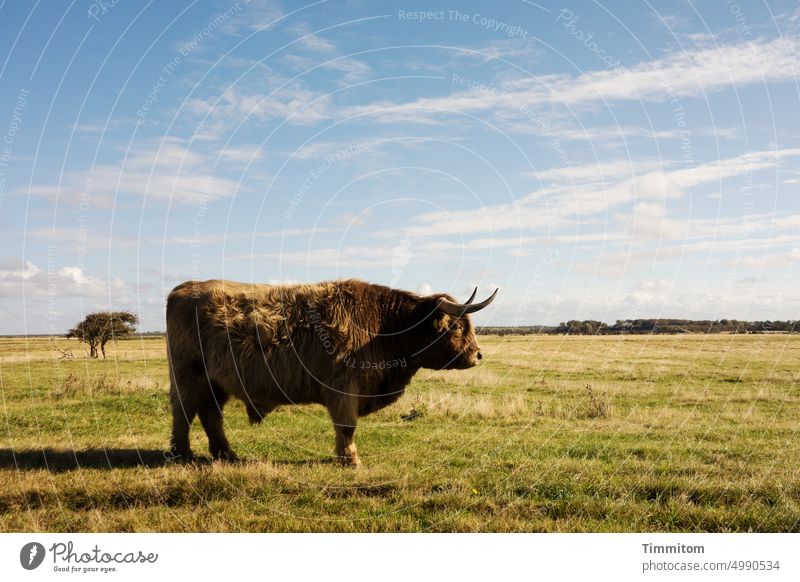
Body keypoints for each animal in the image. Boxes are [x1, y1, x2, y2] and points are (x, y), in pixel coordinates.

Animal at [166, 280, 496, 468]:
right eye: (457, 326)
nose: (478, 355)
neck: (384, 327)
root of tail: (183, 288)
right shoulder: (345, 389)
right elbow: (347, 427)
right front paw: (351, 460)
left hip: (215, 382)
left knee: (210, 414)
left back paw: (225, 454)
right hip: (188, 375)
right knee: (184, 412)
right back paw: (183, 454)